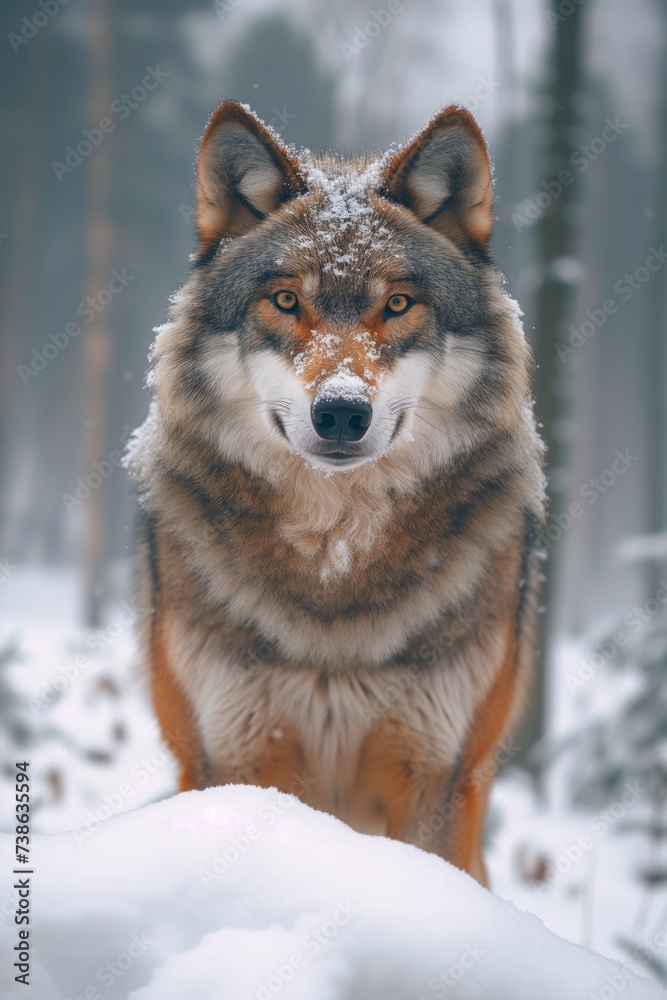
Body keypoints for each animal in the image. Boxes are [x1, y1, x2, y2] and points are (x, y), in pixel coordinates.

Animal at [125, 100, 545, 886]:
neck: (335, 568)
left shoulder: (435, 774)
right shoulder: (233, 755)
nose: (343, 412)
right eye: (287, 300)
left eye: (399, 304)